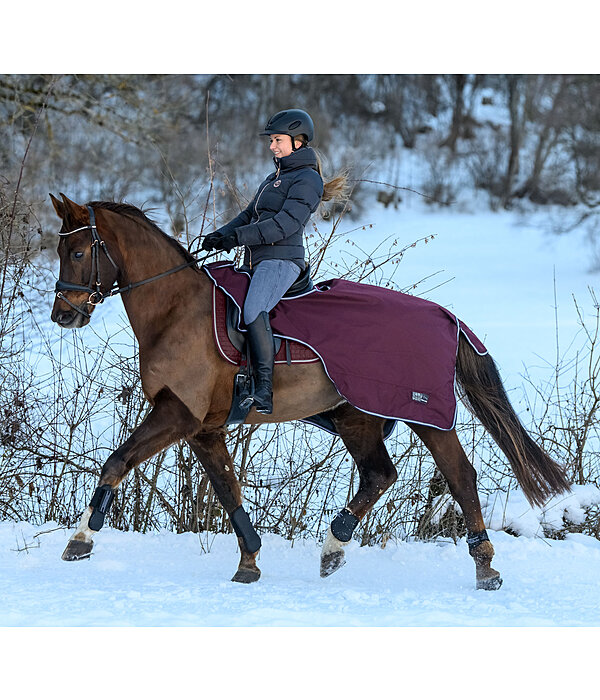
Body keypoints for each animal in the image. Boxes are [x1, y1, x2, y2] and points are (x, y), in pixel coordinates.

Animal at [49, 194, 568, 588]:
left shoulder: (178, 414)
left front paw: (80, 540)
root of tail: (446, 317)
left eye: (77, 253)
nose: (63, 314)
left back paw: (485, 569)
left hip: (425, 416)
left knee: (460, 477)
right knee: (380, 474)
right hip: (355, 416)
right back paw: (334, 547)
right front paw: (249, 562)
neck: (176, 309)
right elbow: (227, 490)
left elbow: (117, 461)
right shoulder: (204, 428)